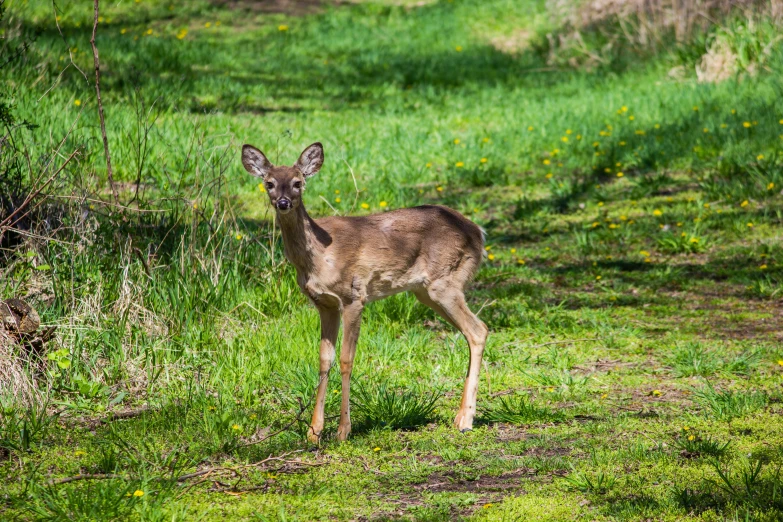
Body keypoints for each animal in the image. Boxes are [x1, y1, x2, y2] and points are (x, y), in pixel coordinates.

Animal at [243, 141, 490, 438]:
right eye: (268, 183)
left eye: (297, 182)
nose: (283, 203)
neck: (318, 258)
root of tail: (478, 231)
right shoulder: (324, 304)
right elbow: (324, 359)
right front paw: (314, 431)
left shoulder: (354, 296)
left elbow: (346, 359)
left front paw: (343, 431)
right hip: (426, 290)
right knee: (473, 331)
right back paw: (461, 417)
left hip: (445, 281)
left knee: (478, 329)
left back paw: (465, 419)